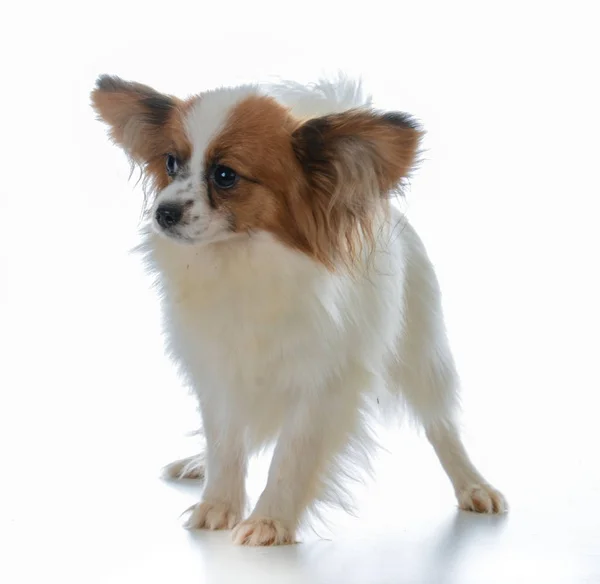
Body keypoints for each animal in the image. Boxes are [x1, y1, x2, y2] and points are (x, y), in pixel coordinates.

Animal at [91, 75, 506, 544]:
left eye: (225, 175)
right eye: (171, 163)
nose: (162, 212)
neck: (241, 262)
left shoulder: (323, 385)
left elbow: (291, 456)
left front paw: (269, 521)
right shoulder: (218, 374)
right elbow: (225, 444)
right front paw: (218, 505)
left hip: (420, 351)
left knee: (440, 424)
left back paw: (473, 485)